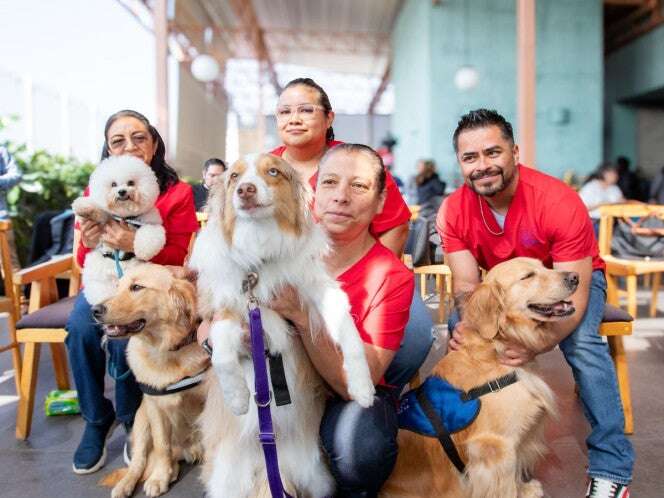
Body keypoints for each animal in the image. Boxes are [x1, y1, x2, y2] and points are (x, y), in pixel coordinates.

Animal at [71, 156, 166, 306]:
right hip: (100, 279)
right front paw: (84, 207)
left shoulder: (150, 222)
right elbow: (97, 209)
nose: (122, 191)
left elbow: (150, 234)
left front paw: (143, 251)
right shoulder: (105, 217)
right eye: (113, 184)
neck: (124, 216)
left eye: (131, 183)